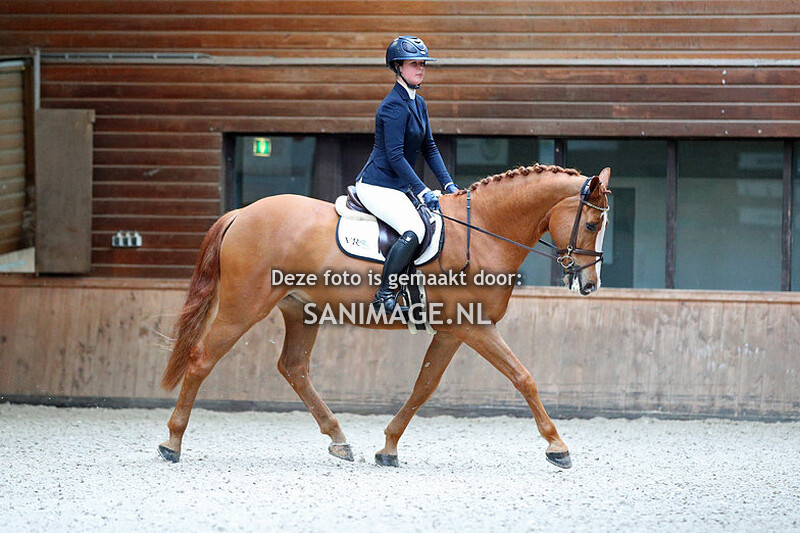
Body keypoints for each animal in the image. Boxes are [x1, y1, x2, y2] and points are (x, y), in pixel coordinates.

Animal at [158, 163, 612, 469]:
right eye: (591, 224)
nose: (590, 284)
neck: (482, 230)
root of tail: (242, 213)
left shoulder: (452, 331)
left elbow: (424, 386)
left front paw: (388, 448)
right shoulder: (475, 326)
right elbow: (524, 377)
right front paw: (557, 447)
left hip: (301, 310)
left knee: (294, 368)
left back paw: (339, 440)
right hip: (243, 306)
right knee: (201, 360)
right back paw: (172, 443)